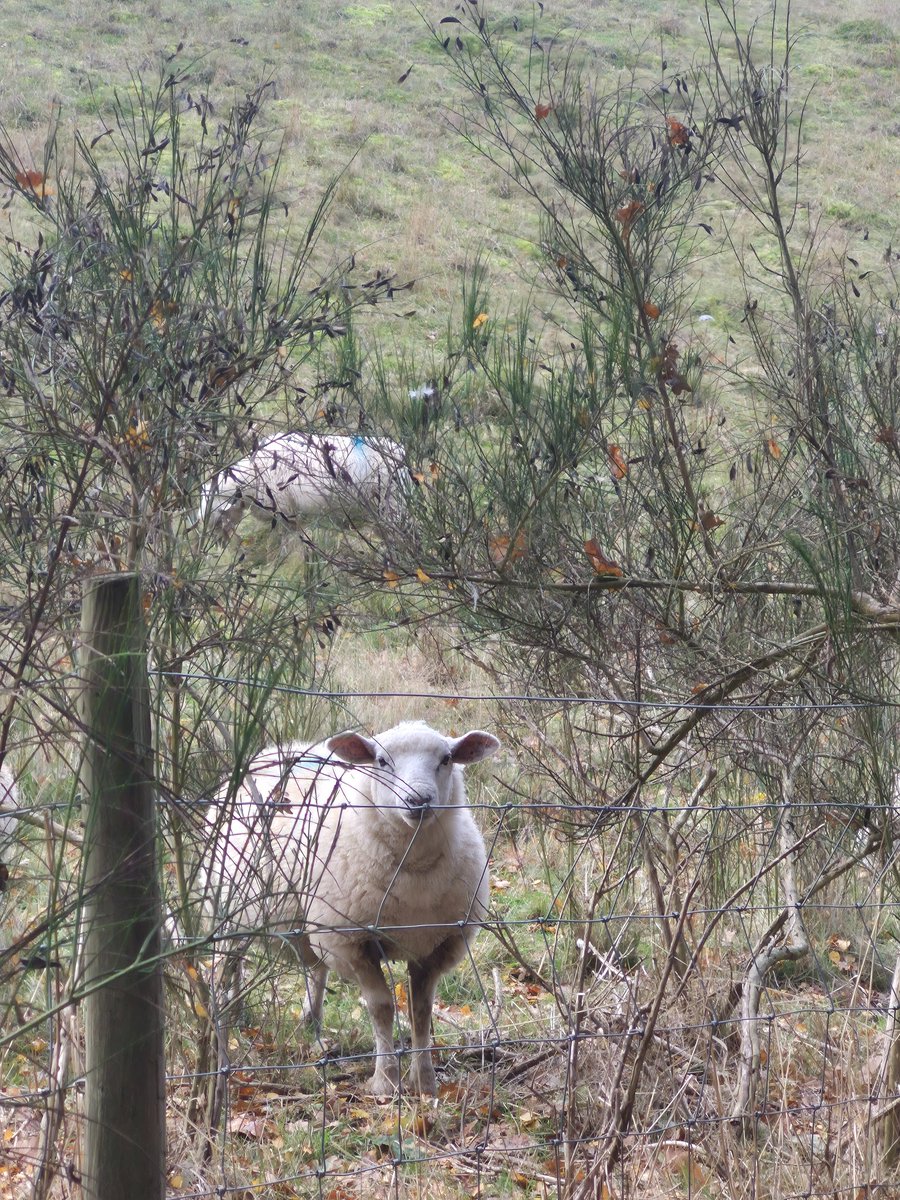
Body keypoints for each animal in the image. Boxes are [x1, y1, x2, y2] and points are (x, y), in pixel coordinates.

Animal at [197, 432, 407, 540]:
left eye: (217, 518)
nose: (217, 542)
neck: (253, 475)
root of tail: (401, 451)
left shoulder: (284, 510)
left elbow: (288, 537)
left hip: (390, 500)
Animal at [203, 720, 499, 1095]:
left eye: (446, 759)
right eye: (381, 761)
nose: (418, 800)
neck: (414, 877)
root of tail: (275, 750)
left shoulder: (434, 945)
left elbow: (421, 1012)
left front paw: (424, 1082)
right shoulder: (353, 942)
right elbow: (382, 1007)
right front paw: (385, 1081)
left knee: (313, 970)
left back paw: (309, 1024)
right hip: (228, 906)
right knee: (229, 963)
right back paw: (228, 1015)